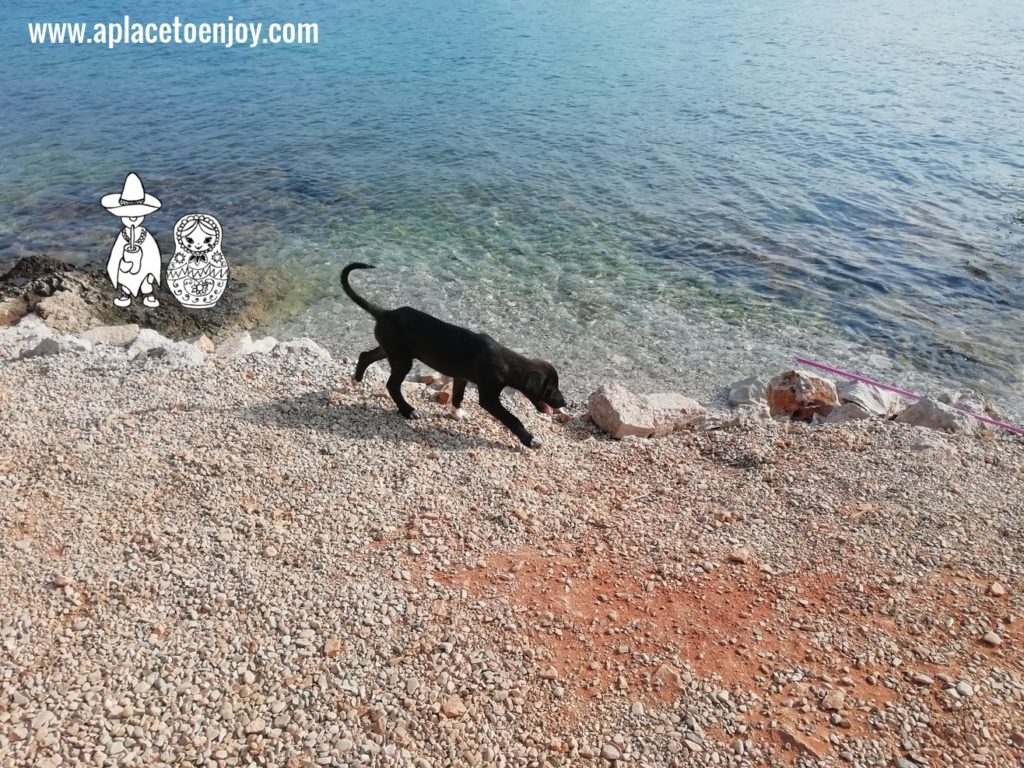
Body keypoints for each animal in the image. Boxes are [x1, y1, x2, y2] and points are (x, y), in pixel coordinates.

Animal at [342, 264, 569, 450]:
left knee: (365, 355)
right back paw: (408, 410)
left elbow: (458, 396)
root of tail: (385, 313)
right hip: (402, 359)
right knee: (391, 385)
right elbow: (513, 419)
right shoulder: (488, 397)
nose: (565, 403)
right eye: (551, 389)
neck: (507, 363)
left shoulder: (462, 376)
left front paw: (456, 413)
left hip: (392, 350)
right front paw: (530, 440)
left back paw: (356, 380)